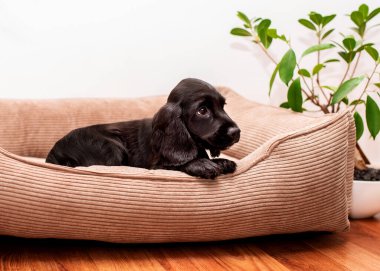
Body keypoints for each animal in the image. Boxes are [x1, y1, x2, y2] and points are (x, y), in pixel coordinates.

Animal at [45, 78, 240, 181]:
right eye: (202, 110)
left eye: (223, 106)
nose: (236, 132)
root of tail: (53, 153)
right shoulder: (155, 166)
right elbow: (179, 164)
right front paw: (202, 165)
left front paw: (222, 162)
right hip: (111, 147)